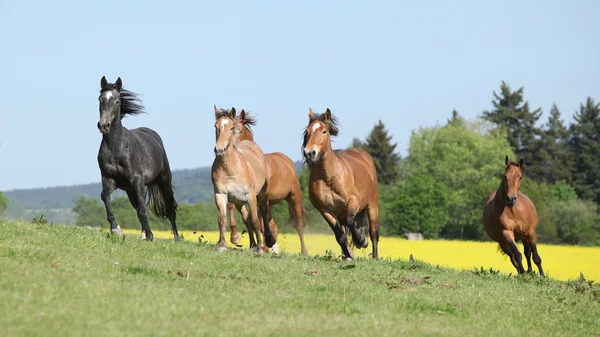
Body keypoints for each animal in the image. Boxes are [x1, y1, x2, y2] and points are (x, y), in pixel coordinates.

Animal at [96, 75, 178, 242]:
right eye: (100, 99)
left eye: (117, 101)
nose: (103, 125)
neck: (117, 148)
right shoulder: (108, 179)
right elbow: (105, 197)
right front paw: (116, 230)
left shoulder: (137, 180)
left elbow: (142, 210)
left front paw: (151, 236)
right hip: (130, 190)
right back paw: (143, 235)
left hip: (164, 180)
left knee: (169, 206)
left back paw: (176, 238)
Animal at [210, 106, 274, 251]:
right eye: (216, 126)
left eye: (231, 127)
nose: (219, 150)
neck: (230, 169)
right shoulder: (220, 194)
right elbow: (222, 219)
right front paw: (222, 245)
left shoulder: (250, 196)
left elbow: (255, 220)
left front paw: (261, 247)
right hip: (238, 200)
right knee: (246, 218)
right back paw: (252, 244)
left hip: (261, 195)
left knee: (263, 213)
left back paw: (266, 241)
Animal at [226, 109, 310, 253]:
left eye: (240, 130)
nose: (231, 148)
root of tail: (287, 160)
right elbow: (246, 216)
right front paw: (239, 239)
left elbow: (257, 222)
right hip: (269, 203)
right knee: (272, 226)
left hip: (293, 197)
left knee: (298, 224)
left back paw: (303, 252)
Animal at [300, 107, 380, 258]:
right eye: (307, 131)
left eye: (324, 131)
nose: (309, 153)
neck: (329, 178)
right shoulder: (325, 210)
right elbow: (340, 236)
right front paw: (349, 256)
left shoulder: (353, 202)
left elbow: (351, 222)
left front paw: (361, 240)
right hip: (341, 213)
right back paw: (346, 255)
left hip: (371, 205)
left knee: (373, 232)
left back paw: (374, 256)